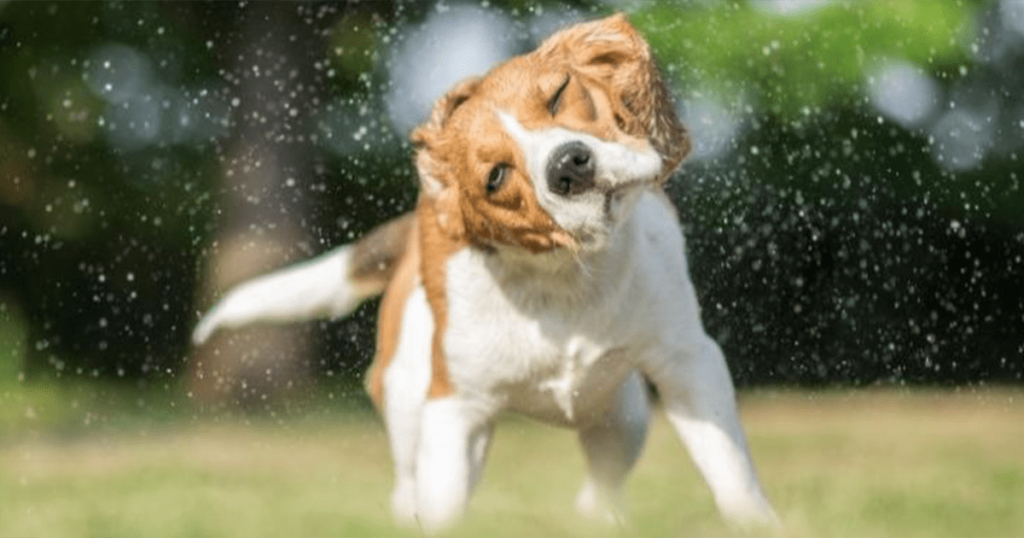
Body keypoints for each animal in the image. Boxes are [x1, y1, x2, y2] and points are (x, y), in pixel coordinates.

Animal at [190, 14, 774, 528]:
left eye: (559, 94)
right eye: (496, 177)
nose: (568, 165)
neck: (564, 280)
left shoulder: (688, 361)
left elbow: (732, 476)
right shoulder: (455, 411)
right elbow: (443, 506)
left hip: (622, 413)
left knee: (601, 484)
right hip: (408, 400)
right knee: (409, 486)